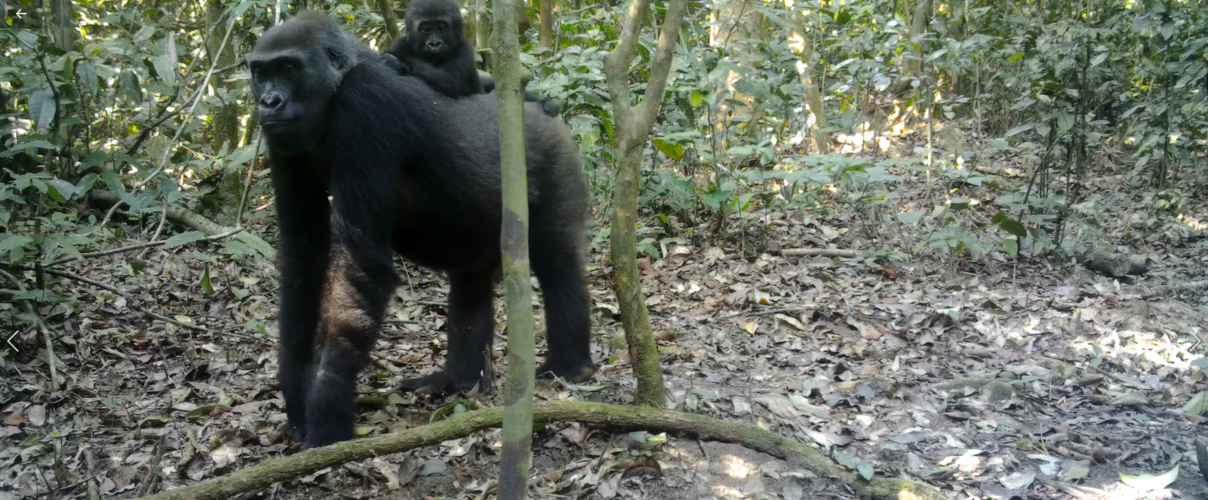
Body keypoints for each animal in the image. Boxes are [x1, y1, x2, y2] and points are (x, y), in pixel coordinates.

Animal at [386, 0, 560, 115]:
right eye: (425, 29)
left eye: (442, 28)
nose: (434, 44)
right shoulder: (401, 42)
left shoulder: (465, 50)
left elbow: (449, 81)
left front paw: (394, 60)